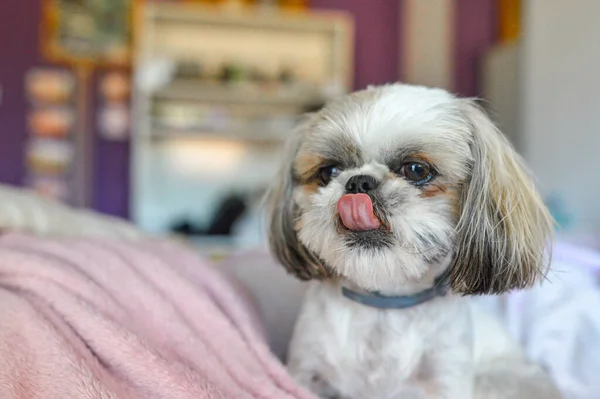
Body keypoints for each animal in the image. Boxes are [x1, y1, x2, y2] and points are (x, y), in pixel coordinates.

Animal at [264, 83, 560, 398]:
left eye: (416, 170)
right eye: (328, 172)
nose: (359, 182)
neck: (384, 306)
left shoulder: (446, 376)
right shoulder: (307, 369)